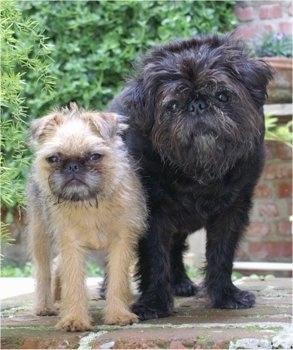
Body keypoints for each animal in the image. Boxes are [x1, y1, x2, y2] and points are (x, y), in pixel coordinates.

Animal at [26, 103, 146, 330]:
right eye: (54, 159)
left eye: (95, 156)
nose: (73, 166)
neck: (89, 203)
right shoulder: (71, 244)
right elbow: (73, 282)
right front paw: (74, 318)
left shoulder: (122, 243)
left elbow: (118, 281)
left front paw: (118, 315)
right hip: (40, 236)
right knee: (44, 270)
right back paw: (45, 305)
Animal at [108, 33, 274, 320]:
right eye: (173, 105)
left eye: (222, 95)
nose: (197, 105)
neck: (198, 170)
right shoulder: (153, 214)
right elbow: (154, 257)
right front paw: (154, 304)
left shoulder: (232, 212)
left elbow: (222, 254)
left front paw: (225, 295)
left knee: (175, 248)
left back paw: (180, 283)